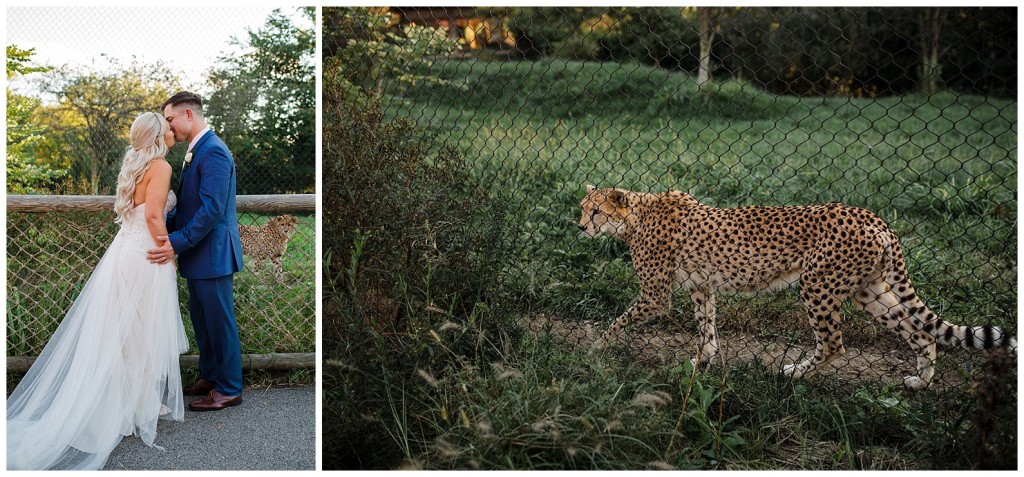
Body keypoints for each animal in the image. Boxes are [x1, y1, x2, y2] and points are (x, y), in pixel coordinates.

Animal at [577, 184, 1015, 388]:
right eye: (583, 209)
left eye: (596, 212)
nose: (580, 227)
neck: (637, 214)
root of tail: (872, 217)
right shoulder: (702, 287)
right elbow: (707, 330)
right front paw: (702, 364)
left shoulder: (656, 296)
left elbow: (618, 320)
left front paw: (595, 348)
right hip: (869, 292)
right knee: (920, 333)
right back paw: (920, 381)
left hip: (816, 285)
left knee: (834, 344)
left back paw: (795, 374)